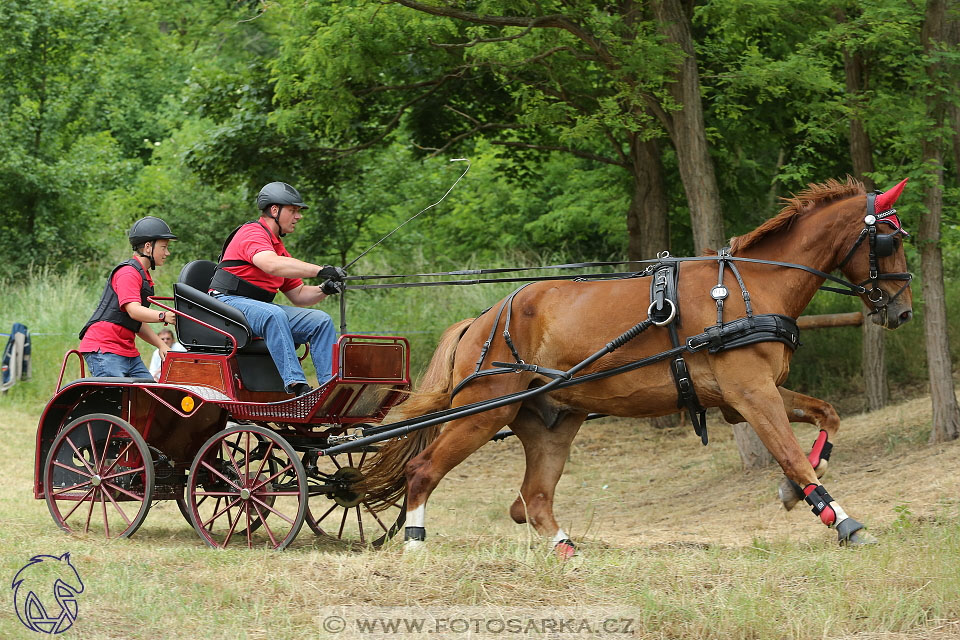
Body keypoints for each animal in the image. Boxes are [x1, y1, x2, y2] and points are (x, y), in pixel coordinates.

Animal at [362, 176, 916, 556]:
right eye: (889, 240)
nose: (903, 311)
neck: (751, 287)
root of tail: (480, 320)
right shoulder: (750, 394)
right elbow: (792, 455)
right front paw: (842, 521)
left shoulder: (754, 394)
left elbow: (826, 418)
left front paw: (796, 491)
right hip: (484, 412)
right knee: (422, 470)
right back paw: (416, 543)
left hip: (551, 424)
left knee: (532, 498)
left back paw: (566, 551)